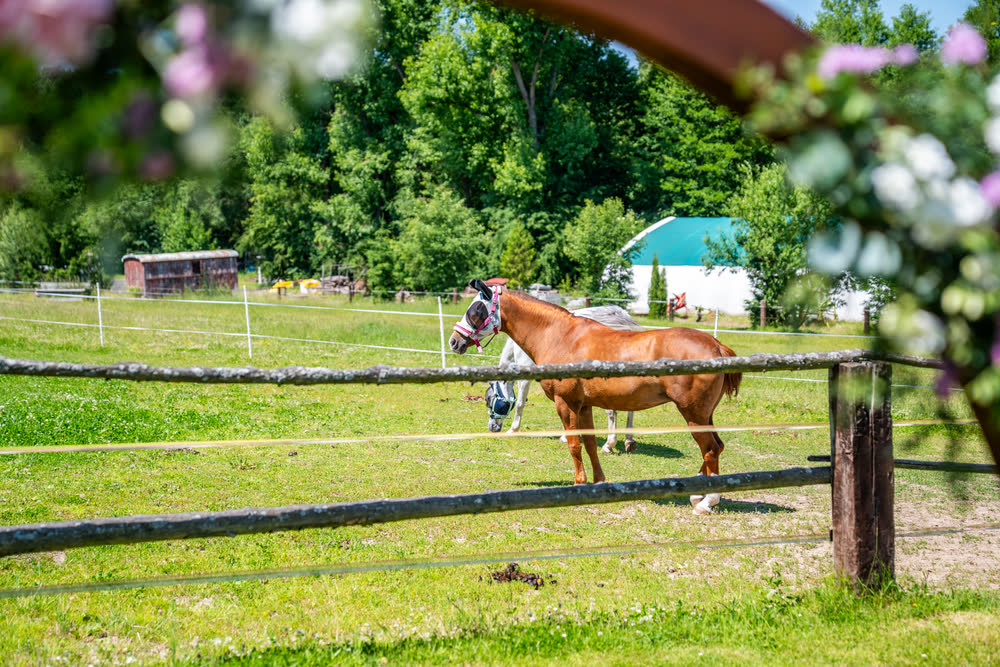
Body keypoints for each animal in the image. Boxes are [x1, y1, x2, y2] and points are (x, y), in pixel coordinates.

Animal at [485, 305, 643, 455]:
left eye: (489, 400)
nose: (492, 427)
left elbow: (520, 404)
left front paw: (513, 429)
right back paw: (629, 440)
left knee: (612, 411)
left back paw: (609, 444)